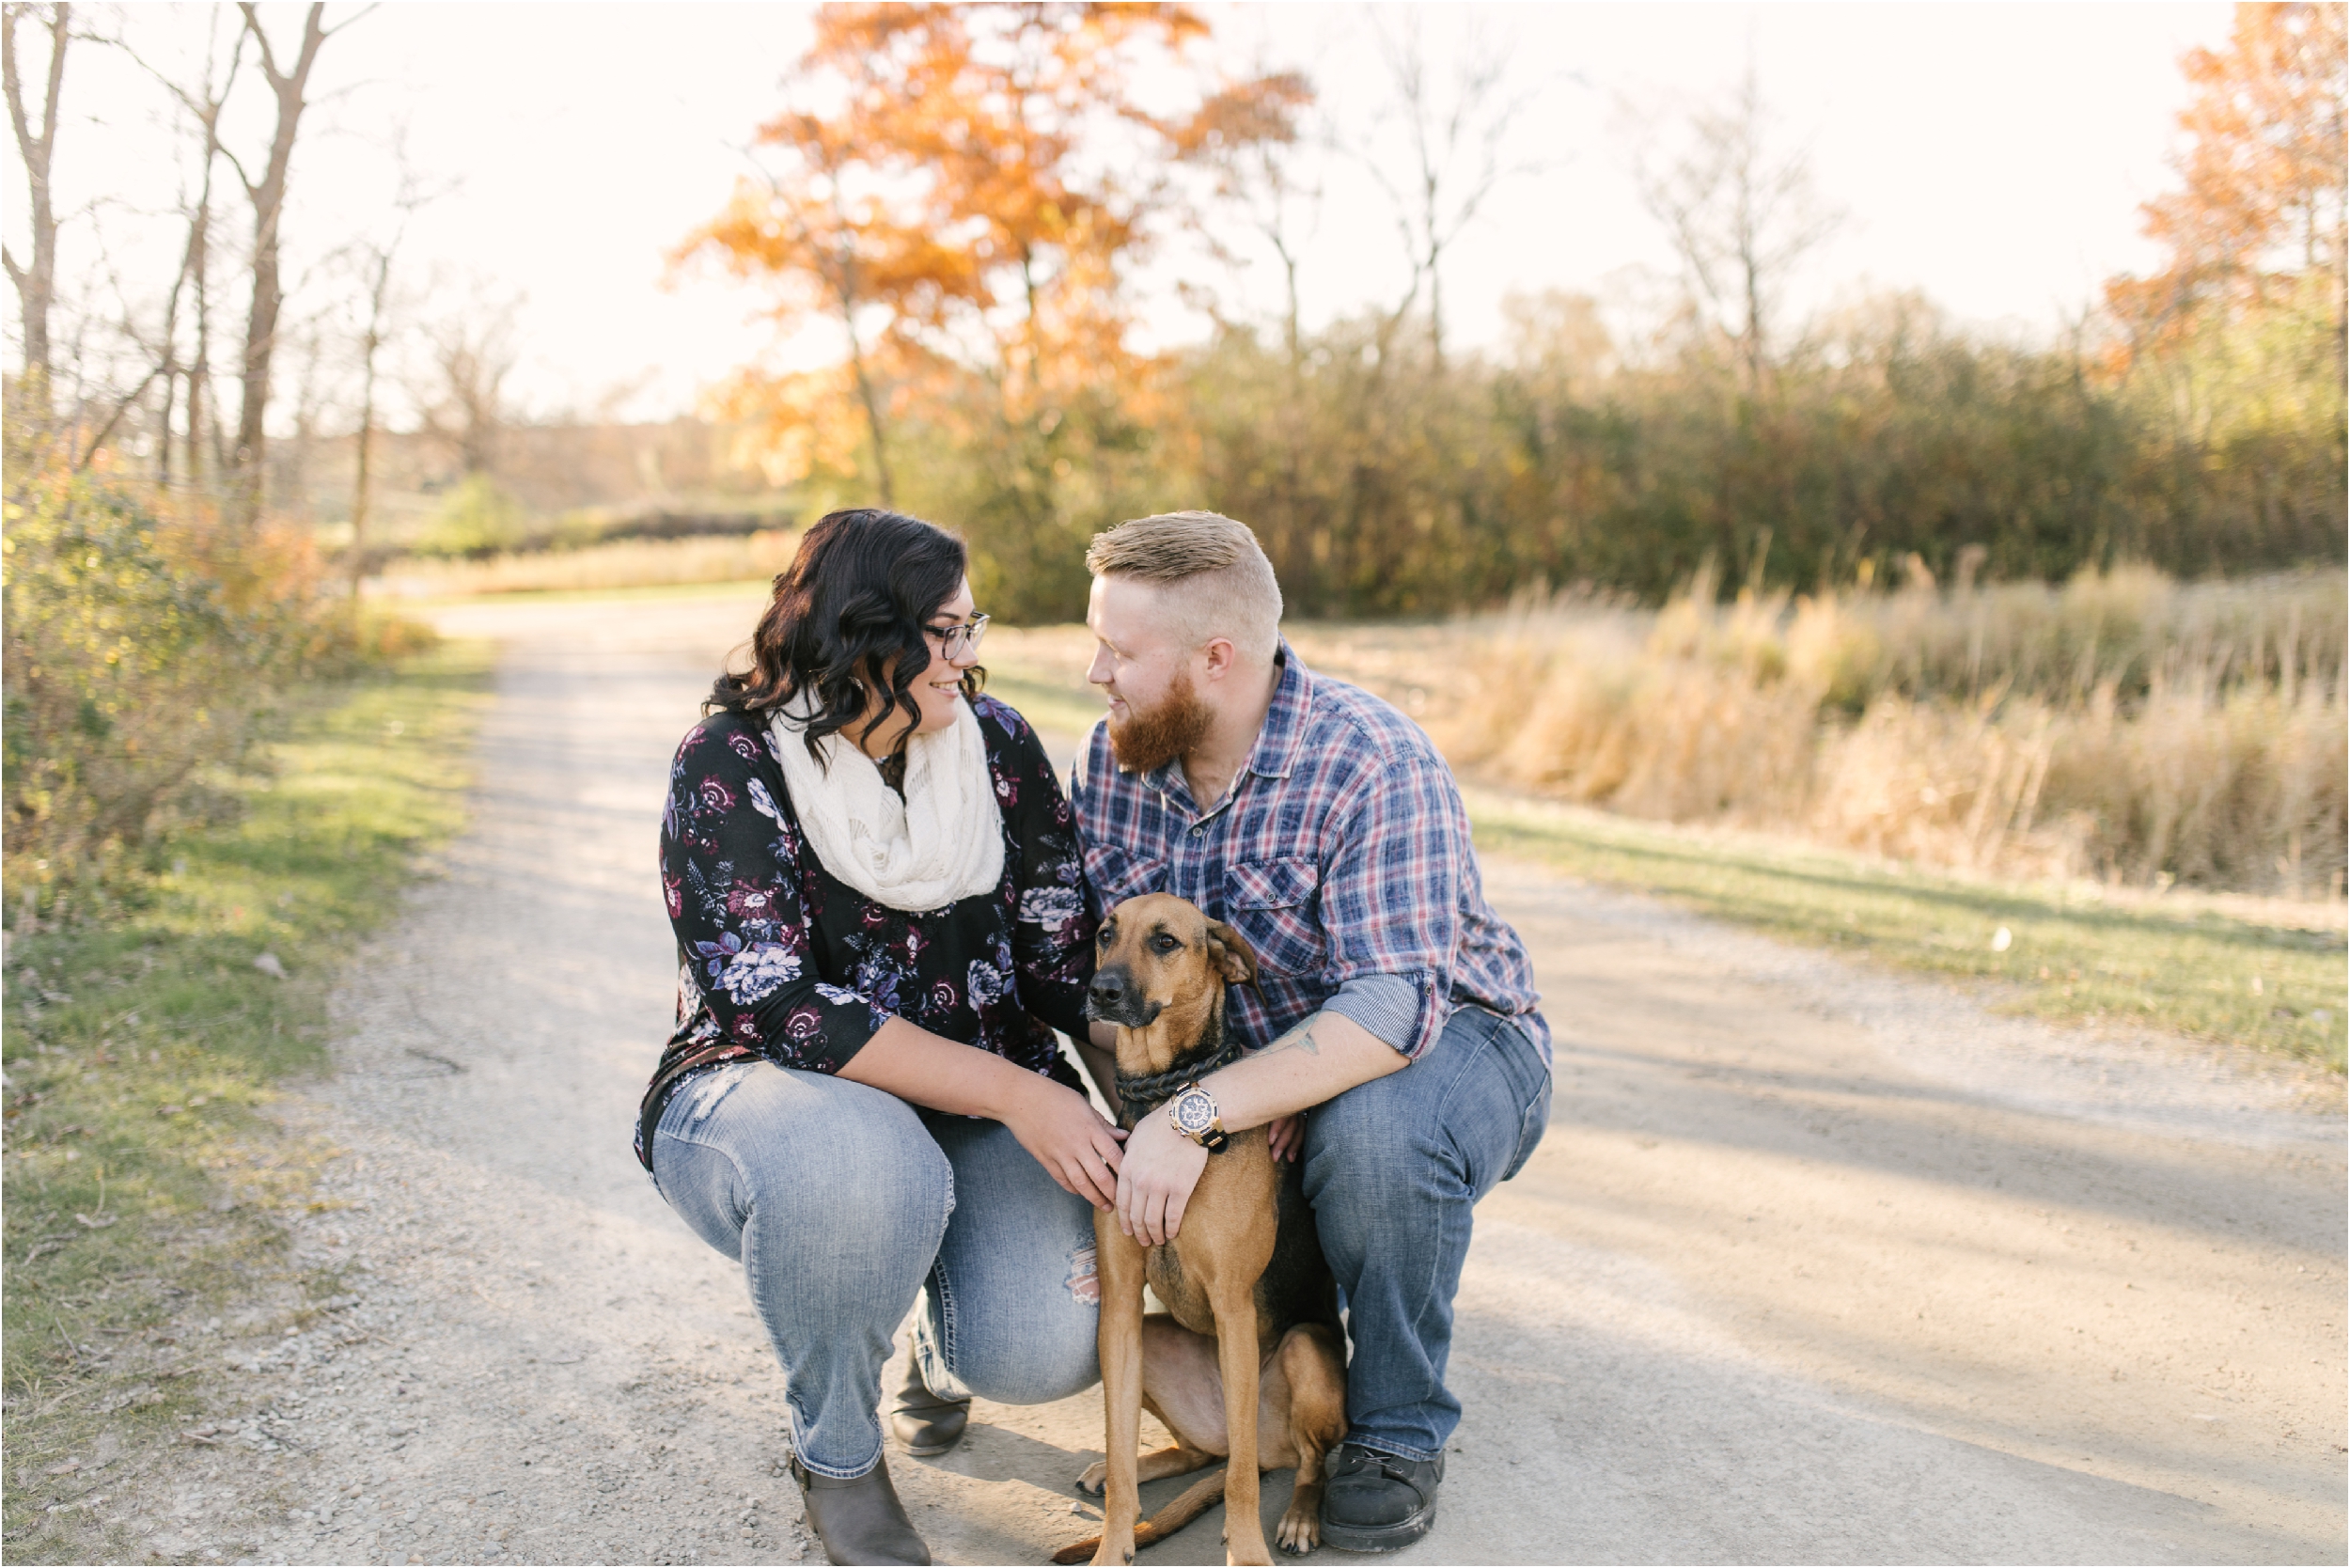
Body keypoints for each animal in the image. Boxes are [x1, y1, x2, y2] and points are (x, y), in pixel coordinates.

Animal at [1062, 893, 1354, 1568]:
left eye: (1166, 941)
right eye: (1104, 934)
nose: (1100, 991)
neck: (1162, 1100)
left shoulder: (1233, 1305)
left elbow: (1243, 1482)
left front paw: (1245, 1552)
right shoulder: (1119, 1311)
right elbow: (1118, 1449)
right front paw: (1112, 1546)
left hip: (1303, 1352)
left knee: (1295, 1461)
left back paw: (1300, 1517)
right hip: (1150, 1347)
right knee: (1202, 1454)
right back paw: (1131, 1470)